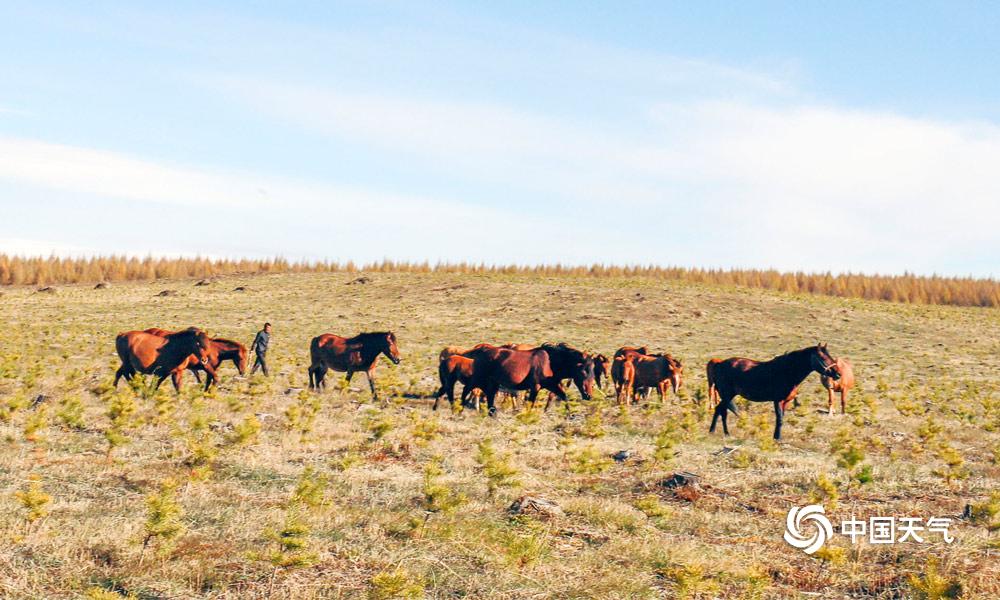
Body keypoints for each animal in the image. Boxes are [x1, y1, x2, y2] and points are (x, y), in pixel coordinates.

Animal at [708, 344, 840, 438]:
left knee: (720, 410)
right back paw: (717, 431)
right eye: (823, 357)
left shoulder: (785, 401)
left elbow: (782, 418)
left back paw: (721, 433)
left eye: (830, 356)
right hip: (727, 395)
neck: (787, 371)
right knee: (720, 410)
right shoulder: (778, 400)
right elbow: (779, 419)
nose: (837, 374)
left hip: (728, 396)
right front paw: (777, 438)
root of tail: (720, 364)